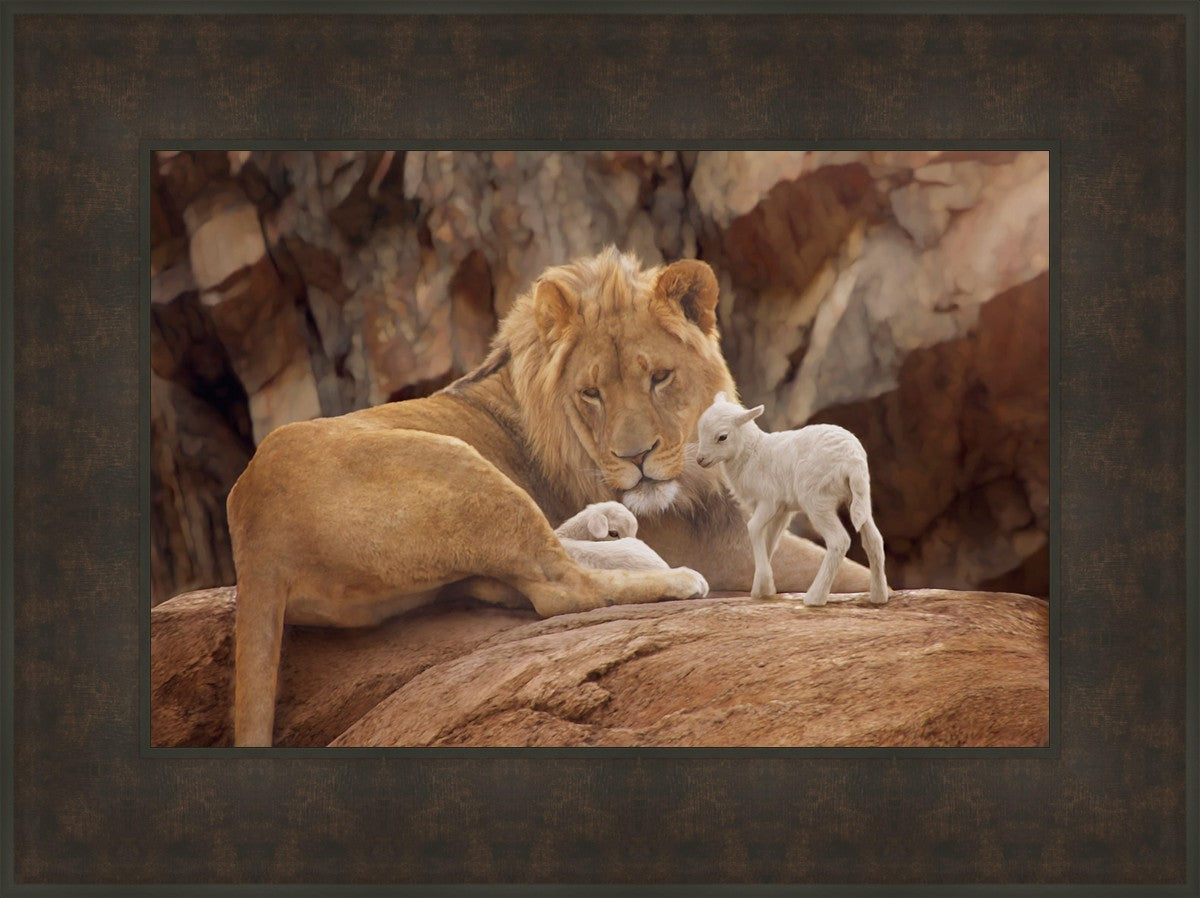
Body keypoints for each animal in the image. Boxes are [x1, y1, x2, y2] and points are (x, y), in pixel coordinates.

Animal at [695, 392, 889, 607]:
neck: (752, 453)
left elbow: (753, 528)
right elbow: (770, 540)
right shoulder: (782, 510)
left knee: (839, 541)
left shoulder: (769, 500)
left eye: (722, 437)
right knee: (874, 540)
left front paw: (764, 584)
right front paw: (762, 588)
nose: (700, 460)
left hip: (816, 499)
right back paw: (878, 596)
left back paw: (815, 597)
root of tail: (852, 460)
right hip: (859, 496)